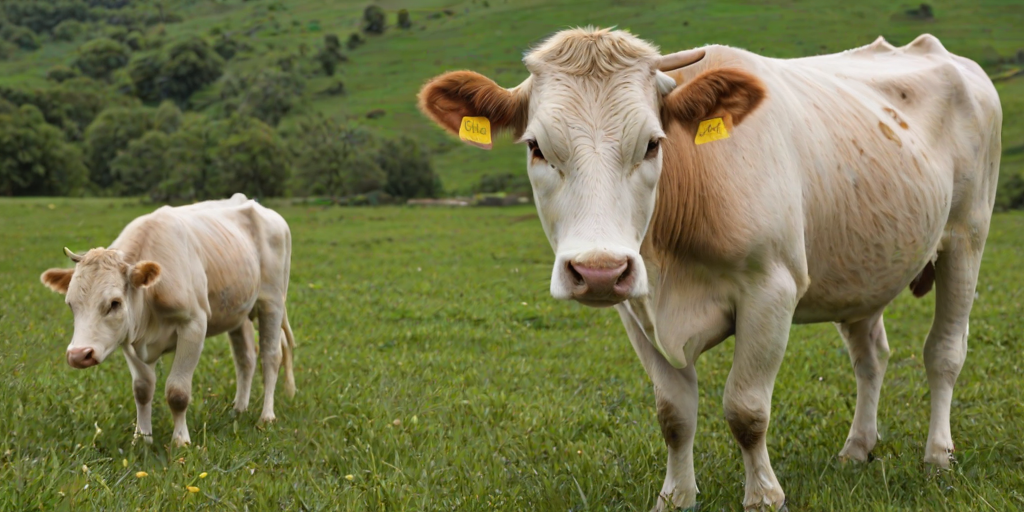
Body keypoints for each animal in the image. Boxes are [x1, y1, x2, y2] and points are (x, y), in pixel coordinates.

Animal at [40, 193, 296, 447]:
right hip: (238, 311)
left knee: (271, 356)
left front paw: (180, 440)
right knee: (246, 359)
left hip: (272, 302)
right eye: (71, 304)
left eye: (114, 303)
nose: (78, 355)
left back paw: (267, 416)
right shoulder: (129, 339)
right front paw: (142, 438)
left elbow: (177, 392)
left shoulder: (194, 326)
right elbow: (142, 389)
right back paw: (239, 409)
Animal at [418, 28, 1001, 510]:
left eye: (653, 143)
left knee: (944, 353)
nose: (600, 270)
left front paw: (764, 496)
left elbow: (746, 410)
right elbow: (674, 413)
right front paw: (677, 496)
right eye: (537, 147)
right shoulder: (636, 308)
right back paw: (857, 448)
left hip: (966, 238)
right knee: (871, 357)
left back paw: (937, 457)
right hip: (864, 267)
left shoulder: (772, 290)